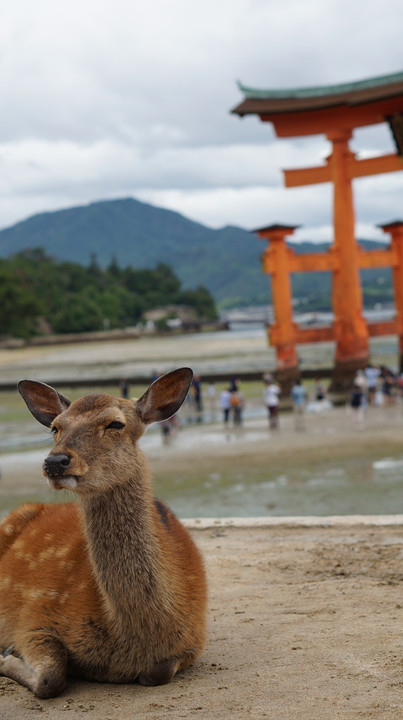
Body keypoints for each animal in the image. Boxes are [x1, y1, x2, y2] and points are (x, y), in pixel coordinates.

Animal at [0, 368, 207, 696]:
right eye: (56, 427)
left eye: (115, 423)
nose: (55, 461)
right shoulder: (33, 615)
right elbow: (50, 678)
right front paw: (6, 656)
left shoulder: (193, 641)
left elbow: (158, 673)